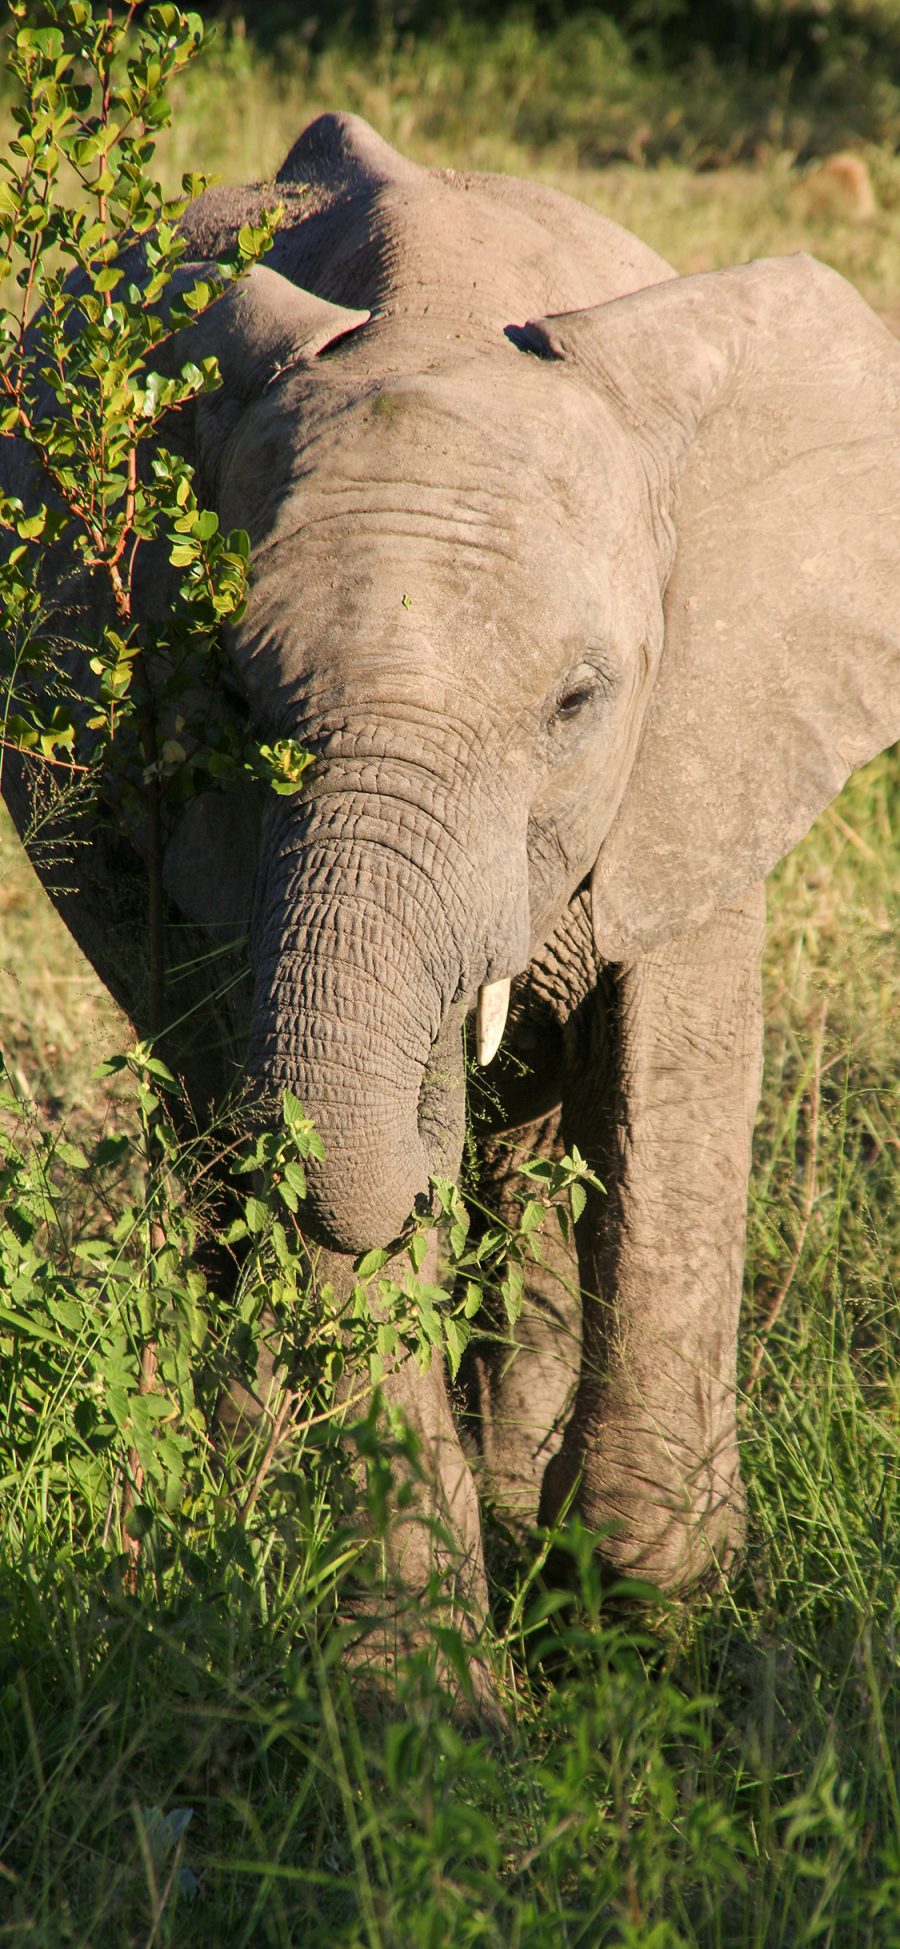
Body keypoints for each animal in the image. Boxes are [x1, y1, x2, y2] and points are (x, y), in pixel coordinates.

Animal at [1, 110, 900, 1629]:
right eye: (229, 696)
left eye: (579, 703)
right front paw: (414, 1664)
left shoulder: (707, 735)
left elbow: (673, 1074)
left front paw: (643, 1602)